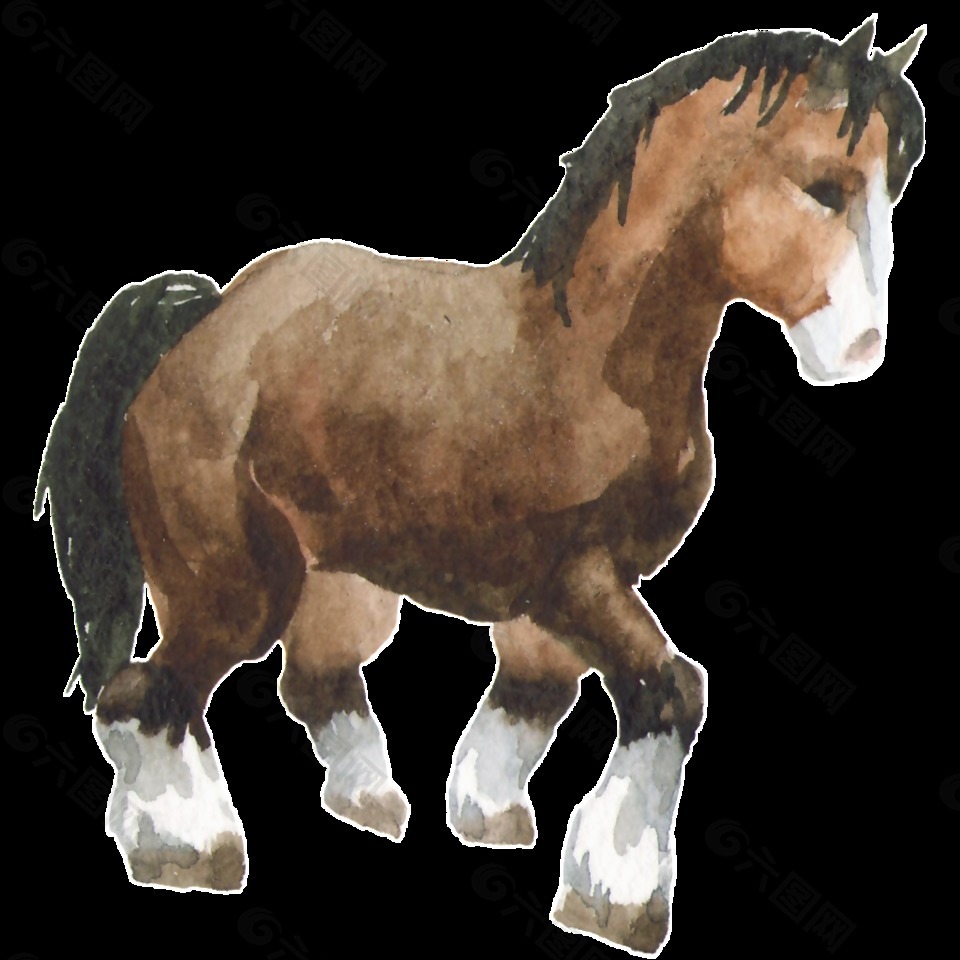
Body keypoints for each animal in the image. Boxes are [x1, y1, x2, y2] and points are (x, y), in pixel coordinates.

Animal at [34, 17, 924, 957]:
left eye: (891, 192)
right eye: (824, 188)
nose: (858, 349)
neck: (589, 359)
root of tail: (199, 325)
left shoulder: (560, 597)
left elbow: (535, 697)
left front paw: (491, 817)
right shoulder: (576, 579)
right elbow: (671, 691)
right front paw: (620, 898)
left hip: (338, 577)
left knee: (311, 680)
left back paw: (369, 804)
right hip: (236, 584)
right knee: (147, 694)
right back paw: (187, 848)